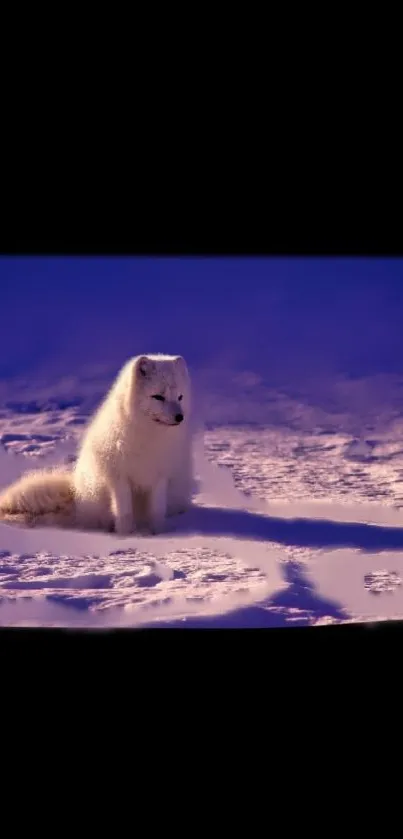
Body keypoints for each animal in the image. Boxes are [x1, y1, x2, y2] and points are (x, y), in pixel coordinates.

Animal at [0, 354, 194, 540]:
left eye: (180, 397)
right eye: (158, 397)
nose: (180, 417)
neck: (149, 437)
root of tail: (76, 492)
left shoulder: (160, 476)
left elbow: (157, 511)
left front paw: (158, 533)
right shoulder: (118, 477)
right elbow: (124, 512)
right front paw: (127, 536)